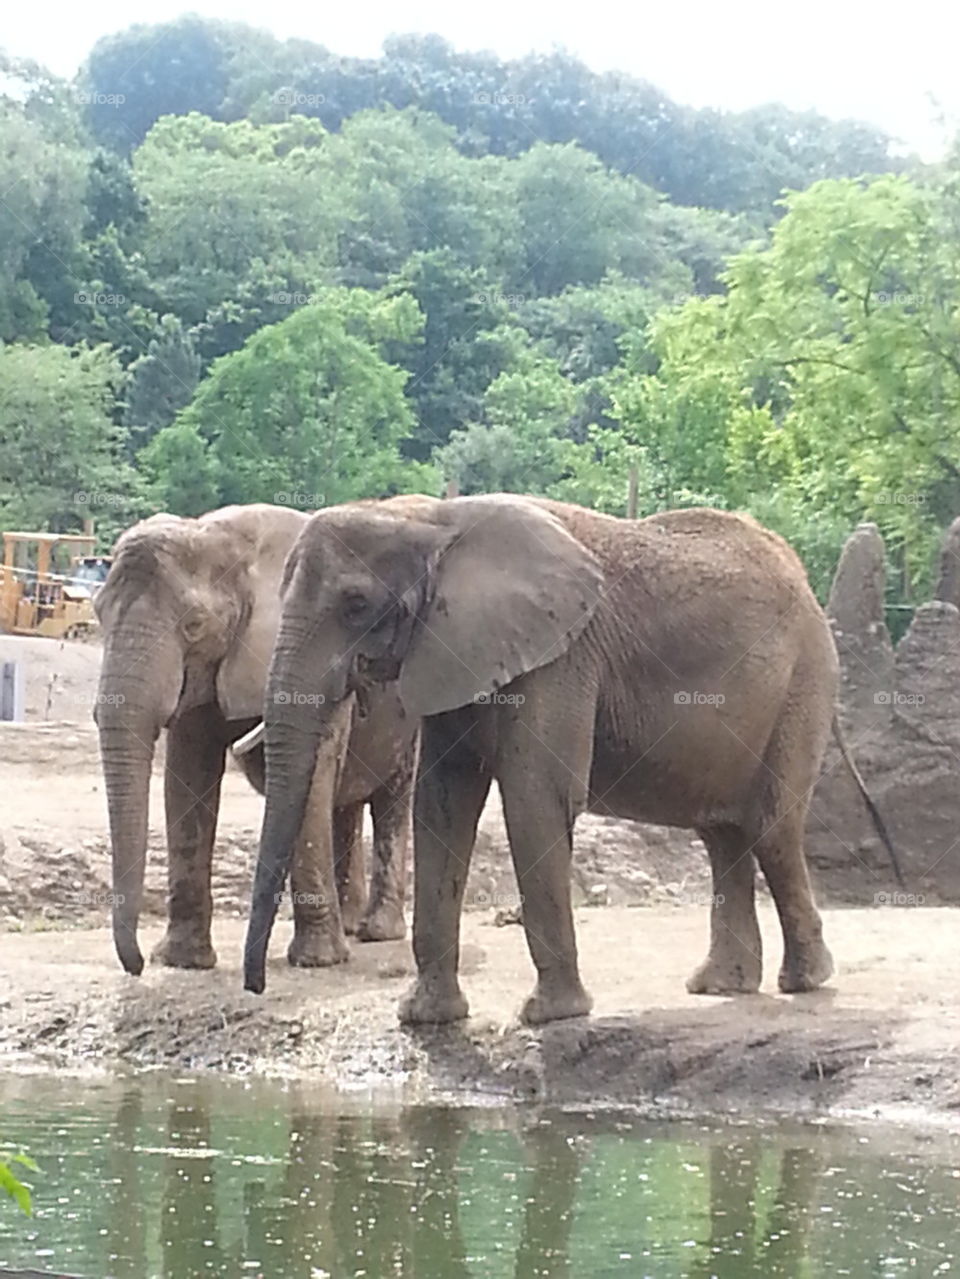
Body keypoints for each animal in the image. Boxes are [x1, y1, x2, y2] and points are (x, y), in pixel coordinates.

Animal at [94, 503, 416, 977]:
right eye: (98, 614)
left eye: (194, 625)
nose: (135, 966)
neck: (225, 538)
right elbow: (188, 776)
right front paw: (183, 962)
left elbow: (311, 778)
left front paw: (316, 962)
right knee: (346, 805)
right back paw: (352, 924)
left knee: (391, 798)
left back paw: (377, 931)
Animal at [242, 494, 900, 1024]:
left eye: (355, 604)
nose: (256, 987)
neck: (431, 518)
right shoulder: (452, 652)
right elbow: (443, 804)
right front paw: (426, 1019)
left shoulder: (560, 658)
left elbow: (537, 796)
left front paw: (549, 1017)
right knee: (724, 833)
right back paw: (721, 987)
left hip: (804, 683)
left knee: (771, 829)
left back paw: (805, 981)